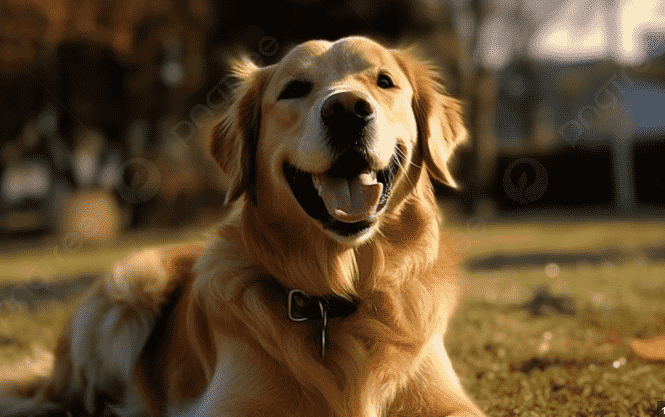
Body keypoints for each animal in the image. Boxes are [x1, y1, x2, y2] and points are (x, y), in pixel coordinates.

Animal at [2, 36, 486, 416]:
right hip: (131, 284)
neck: (335, 298)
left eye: (384, 82)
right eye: (294, 90)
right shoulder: (227, 404)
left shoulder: (449, 403)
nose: (347, 109)